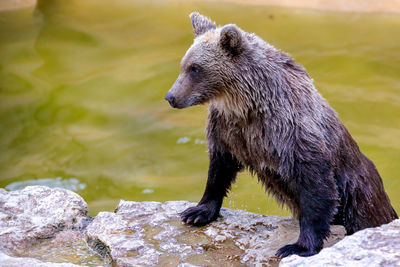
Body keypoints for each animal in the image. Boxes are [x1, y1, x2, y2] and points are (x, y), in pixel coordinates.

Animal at [165, 12, 396, 258]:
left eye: (195, 68)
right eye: (184, 65)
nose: (171, 96)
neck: (246, 105)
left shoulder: (292, 135)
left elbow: (316, 188)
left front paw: (297, 246)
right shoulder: (228, 130)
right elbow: (219, 169)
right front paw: (196, 212)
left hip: (361, 197)